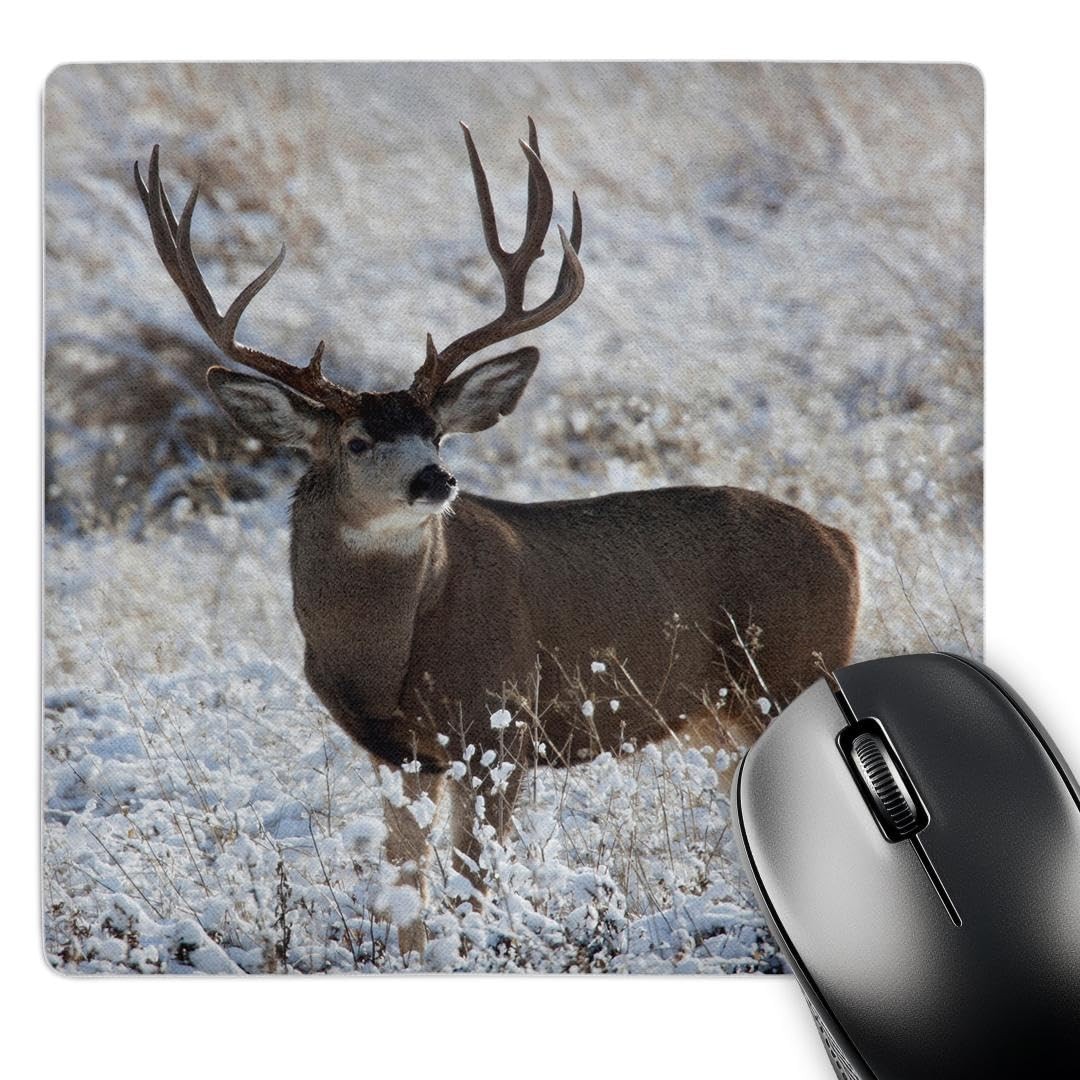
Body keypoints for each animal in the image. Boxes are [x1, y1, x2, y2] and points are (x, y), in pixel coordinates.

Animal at [134, 120, 860, 960]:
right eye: (355, 441)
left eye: (438, 432)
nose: (435, 479)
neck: (386, 652)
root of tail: (842, 542)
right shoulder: (396, 752)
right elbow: (404, 894)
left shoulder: (499, 727)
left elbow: (471, 883)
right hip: (721, 718)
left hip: (791, 669)